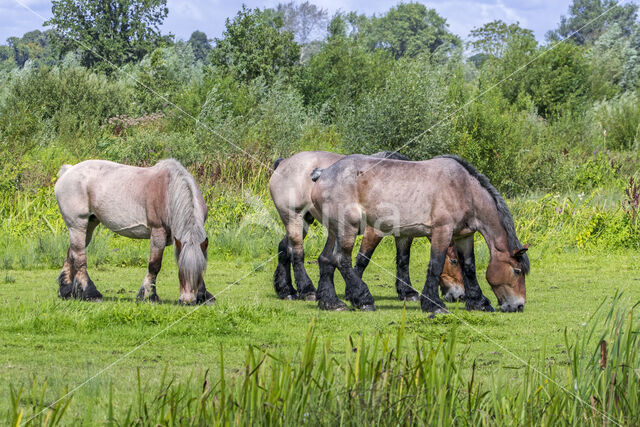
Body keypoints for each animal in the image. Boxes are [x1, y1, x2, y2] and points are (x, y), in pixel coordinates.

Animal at [53, 160, 211, 304]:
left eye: (198, 273)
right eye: (181, 273)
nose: (188, 301)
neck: (169, 192)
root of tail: (68, 171)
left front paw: (205, 296)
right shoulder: (158, 233)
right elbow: (154, 265)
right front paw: (148, 296)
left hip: (88, 226)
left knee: (71, 254)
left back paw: (66, 291)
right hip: (77, 225)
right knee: (80, 258)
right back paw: (90, 294)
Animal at [268, 152, 462, 310]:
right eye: (453, 261)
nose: (459, 296)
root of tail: (283, 162)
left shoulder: (405, 233)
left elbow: (403, 260)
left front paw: (407, 292)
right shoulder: (373, 231)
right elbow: (363, 258)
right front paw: (354, 294)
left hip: (305, 221)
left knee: (285, 247)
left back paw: (287, 290)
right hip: (294, 217)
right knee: (297, 253)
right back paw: (307, 290)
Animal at [312, 155, 528, 314]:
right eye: (517, 271)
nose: (518, 306)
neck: (464, 188)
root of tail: (322, 174)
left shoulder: (463, 236)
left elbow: (469, 267)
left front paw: (478, 302)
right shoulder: (442, 231)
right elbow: (435, 265)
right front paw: (434, 304)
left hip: (335, 231)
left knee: (326, 259)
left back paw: (331, 302)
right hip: (347, 228)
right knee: (342, 260)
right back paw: (363, 299)